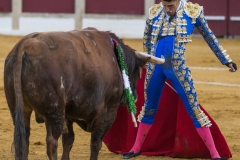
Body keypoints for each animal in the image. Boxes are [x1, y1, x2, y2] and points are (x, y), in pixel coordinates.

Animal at [3, 28, 159, 159]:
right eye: (137, 73)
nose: (136, 97)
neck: (116, 58)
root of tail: (23, 46)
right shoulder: (108, 112)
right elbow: (96, 142)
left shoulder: (68, 114)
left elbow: (68, 139)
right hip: (54, 112)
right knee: (51, 142)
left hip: (20, 110)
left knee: (23, 141)